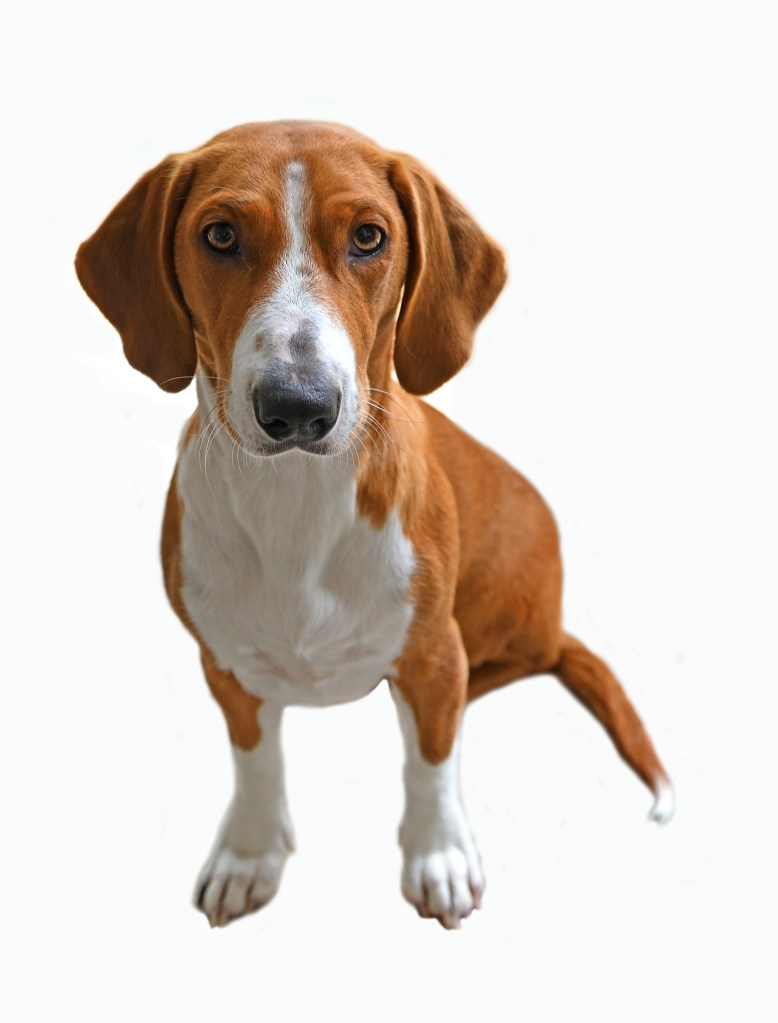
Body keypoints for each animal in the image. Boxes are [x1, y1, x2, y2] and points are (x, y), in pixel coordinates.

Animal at [75, 121, 670, 937]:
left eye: (368, 237)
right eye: (220, 235)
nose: (297, 406)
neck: (297, 508)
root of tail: (553, 622)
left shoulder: (436, 657)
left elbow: (431, 765)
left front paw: (439, 856)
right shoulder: (224, 665)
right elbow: (255, 761)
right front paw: (250, 853)